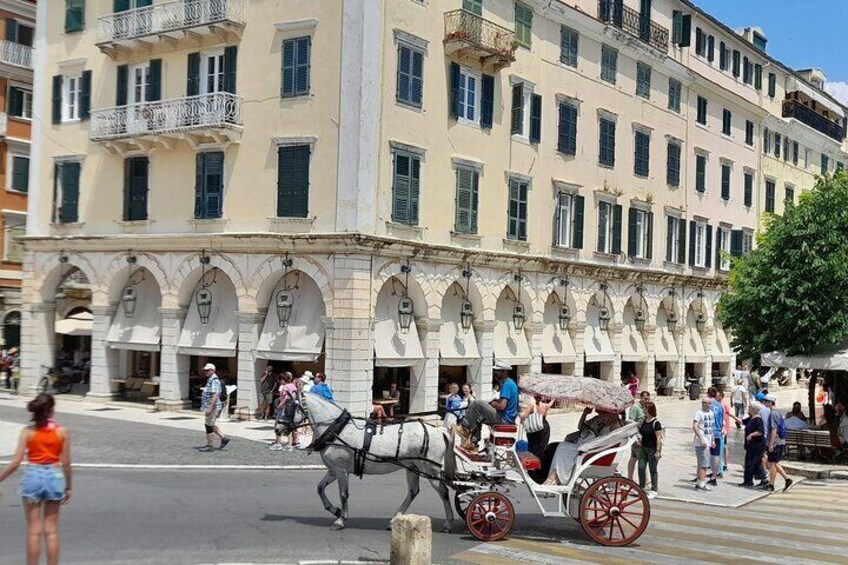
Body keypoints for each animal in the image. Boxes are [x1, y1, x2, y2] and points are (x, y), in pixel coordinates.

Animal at [302, 390, 454, 532]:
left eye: (294, 403)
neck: (339, 431)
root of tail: (440, 431)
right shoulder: (334, 470)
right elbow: (320, 488)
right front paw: (335, 510)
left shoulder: (341, 470)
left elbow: (343, 494)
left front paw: (340, 520)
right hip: (412, 467)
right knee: (413, 491)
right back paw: (394, 520)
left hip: (430, 469)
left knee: (443, 492)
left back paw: (448, 523)